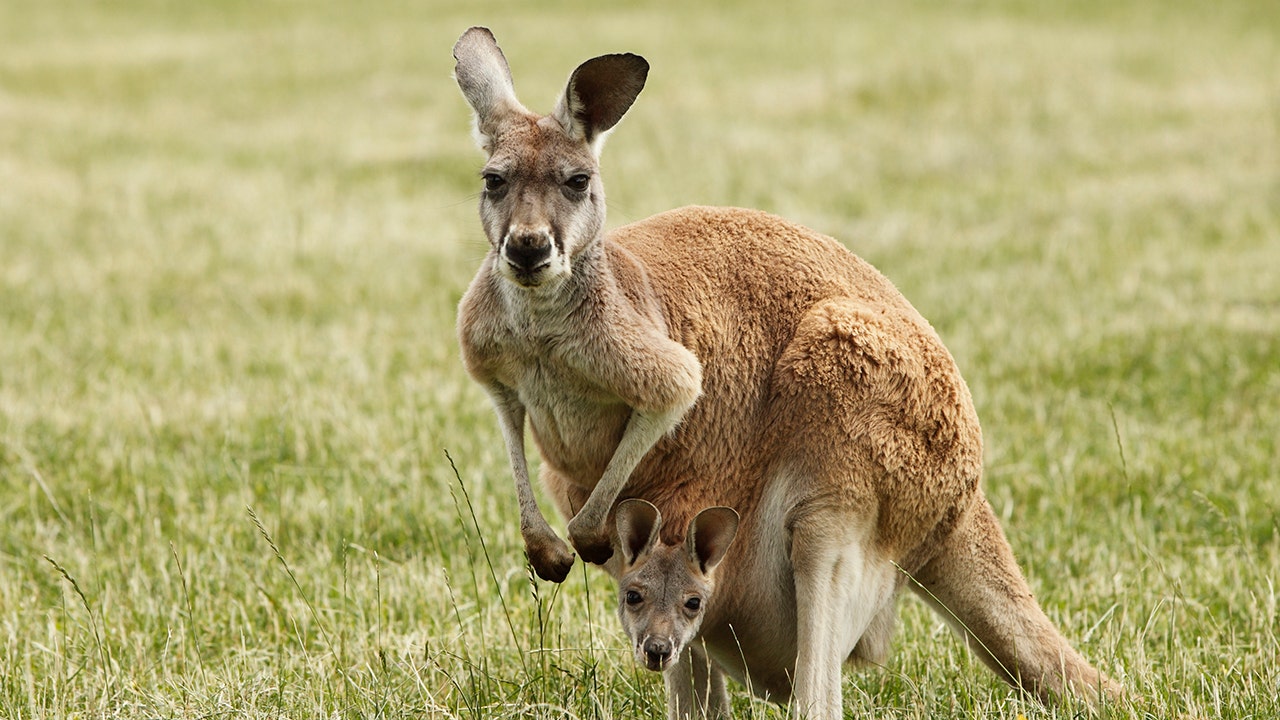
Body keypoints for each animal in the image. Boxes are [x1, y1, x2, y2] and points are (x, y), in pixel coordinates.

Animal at [452, 26, 1121, 718]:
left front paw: (578, 540)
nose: (528, 248)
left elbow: (673, 397)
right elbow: (511, 426)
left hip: (846, 425)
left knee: (816, 676)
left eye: (577, 180)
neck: (544, 322)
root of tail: (963, 504)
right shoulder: (491, 362)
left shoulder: (659, 362)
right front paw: (546, 550)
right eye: (493, 180)